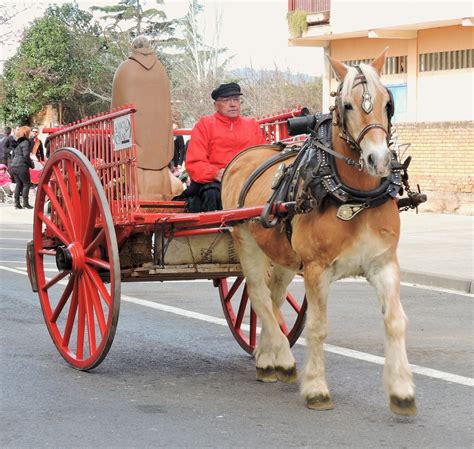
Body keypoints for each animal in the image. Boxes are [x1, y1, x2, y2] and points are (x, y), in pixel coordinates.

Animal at [220, 50, 416, 416]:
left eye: (388, 102)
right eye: (348, 105)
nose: (379, 159)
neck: (355, 197)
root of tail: (245, 156)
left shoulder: (384, 264)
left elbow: (396, 321)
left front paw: (402, 391)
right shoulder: (315, 269)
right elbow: (318, 327)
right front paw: (316, 389)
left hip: (281, 253)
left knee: (274, 296)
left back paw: (266, 356)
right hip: (246, 241)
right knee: (258, 295)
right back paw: (282, 359)